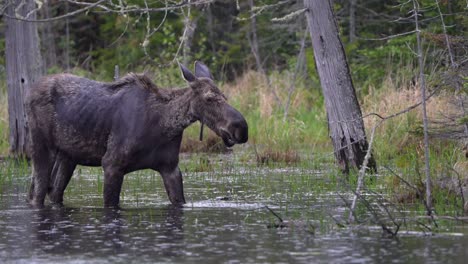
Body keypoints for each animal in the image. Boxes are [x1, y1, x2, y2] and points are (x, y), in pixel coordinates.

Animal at [25, 62, 249, 208]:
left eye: (224, 96)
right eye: (209, 98)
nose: (241, 128)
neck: (164, 125)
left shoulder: (170, 168)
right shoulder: (112, 164)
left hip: (68, 156)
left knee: (54, 192)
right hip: (41, 148)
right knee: (36, 194)